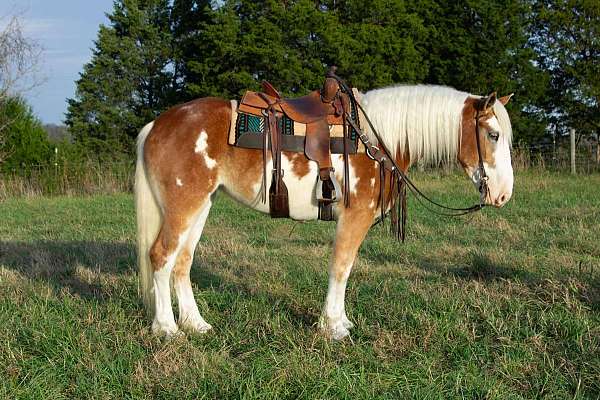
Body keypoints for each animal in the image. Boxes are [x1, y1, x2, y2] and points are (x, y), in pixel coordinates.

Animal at [136, 84, 516, 340]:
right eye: (493, 135)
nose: (503, 194)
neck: (375, 140)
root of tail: (157, 124)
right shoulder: (354, 216)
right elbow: (341, 267)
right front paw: (333, 326)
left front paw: (339, 321)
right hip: (184, 206)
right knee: (161, 257)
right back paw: (167, 329)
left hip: (201, 205)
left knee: (182, 262)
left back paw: (195, 324)